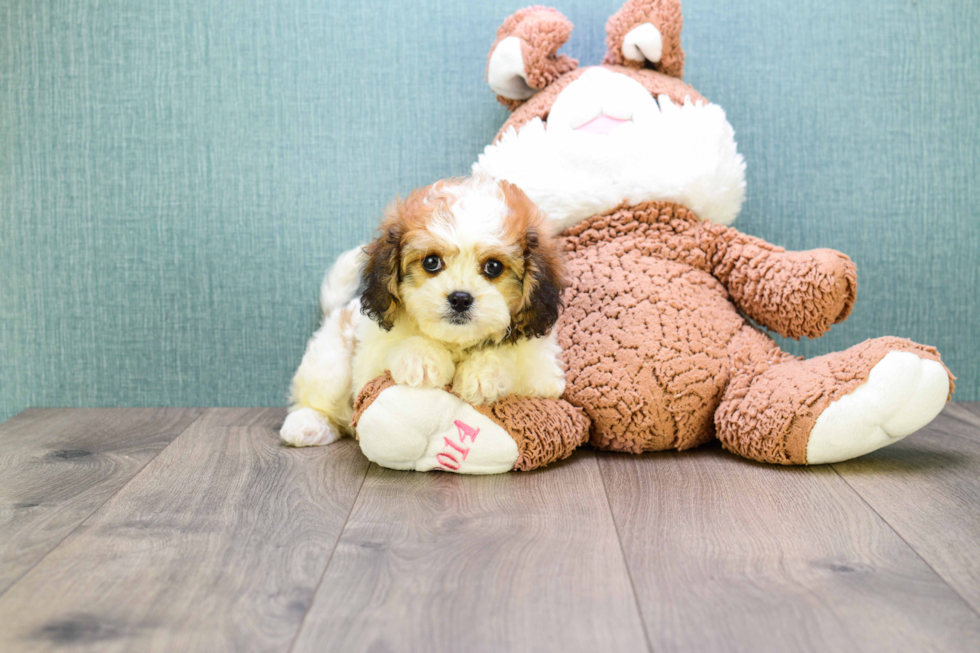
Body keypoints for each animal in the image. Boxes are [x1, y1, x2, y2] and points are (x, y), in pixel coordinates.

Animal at [280, 174, 564, 448]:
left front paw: (483, 374)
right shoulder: (369, 364)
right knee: (318, 401)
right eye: (431, 262)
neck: (456, 342)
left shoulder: (542, 377)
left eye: (493, 267)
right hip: (330, 361)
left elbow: (510, 359)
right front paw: (421, 359)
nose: (460, 299)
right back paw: (308, 425)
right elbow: (398, 349)